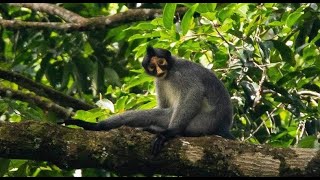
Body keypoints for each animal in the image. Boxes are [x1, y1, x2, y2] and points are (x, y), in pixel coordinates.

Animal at [62, 45, 234, 155]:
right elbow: (162, 106)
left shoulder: (182, 72)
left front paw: (170, 133)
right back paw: (95, 127)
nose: (158, 70)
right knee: (157, 114)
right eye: (152, 66)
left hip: (203, 122)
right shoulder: (159, 81)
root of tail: (223, 125)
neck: (169, 72)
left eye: (161, 62)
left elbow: (194, 92)